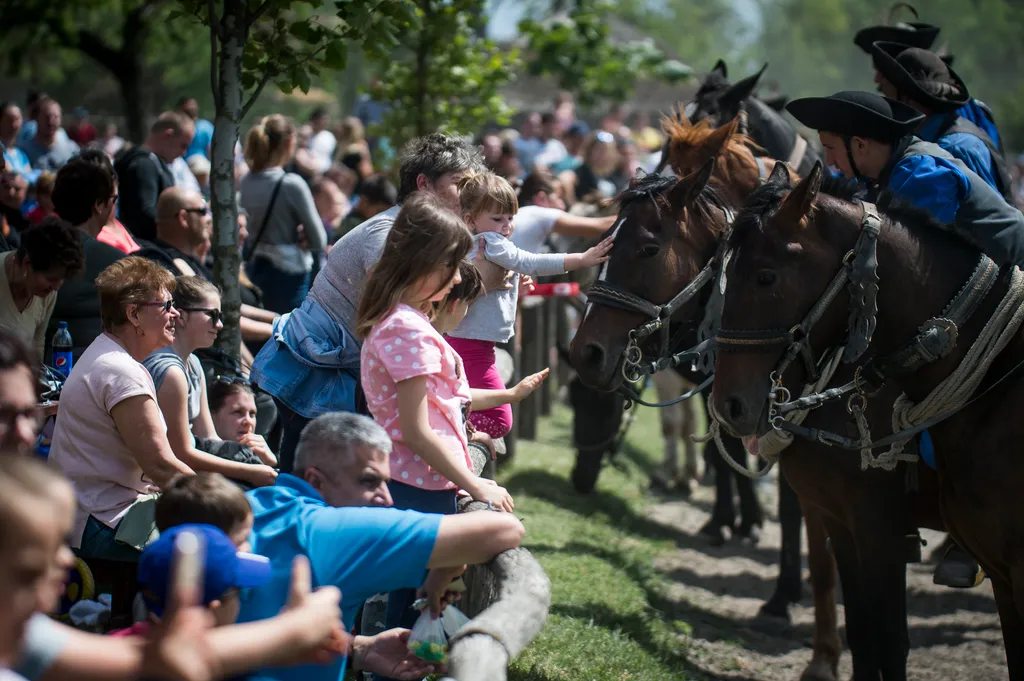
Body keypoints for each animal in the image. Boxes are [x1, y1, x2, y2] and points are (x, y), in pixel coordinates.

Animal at [712, 163, 1024, 675]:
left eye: (765, 276)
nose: (729, 406)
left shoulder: (882, 531)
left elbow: (890, 641)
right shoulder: (839, 519)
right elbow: (860, 630)